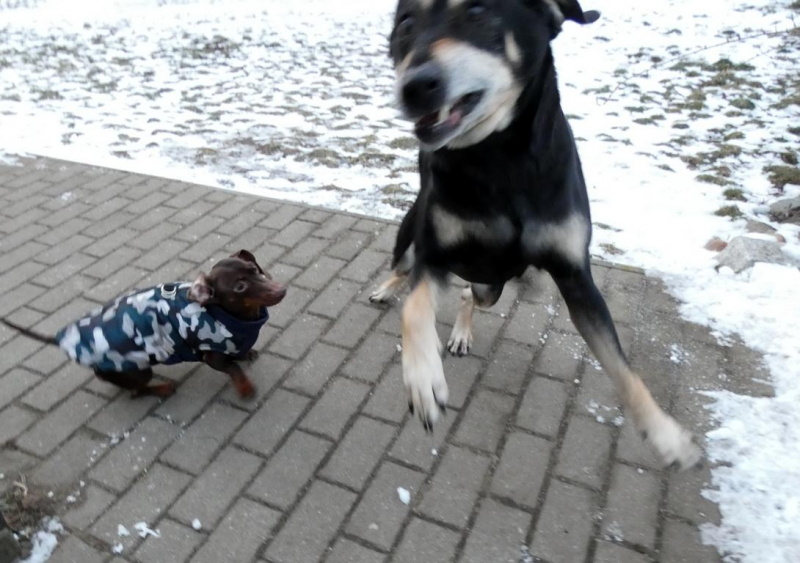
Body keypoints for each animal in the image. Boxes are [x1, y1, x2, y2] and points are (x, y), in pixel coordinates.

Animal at [0, 250, 286, 399]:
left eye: (254, 268)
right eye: (239, 287)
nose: (281, 289)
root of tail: (65, 339)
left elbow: (238, 355)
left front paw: (247, 352)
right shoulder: (211, 356)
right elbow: (234, 368)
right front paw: (246, 389)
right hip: (138, 369)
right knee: (136, 392)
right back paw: (162, 388)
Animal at [370, 0, 701, 469]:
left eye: (478, 13)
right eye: (405, 24)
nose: (414, 88)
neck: (499, 157)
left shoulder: (576, 277)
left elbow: (623, 367)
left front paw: (665, 435)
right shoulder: (434, 256)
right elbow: (415, 311)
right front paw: (422, 381)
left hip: (491, 285)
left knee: (472, 294)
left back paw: (461, 332)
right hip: (410, 235)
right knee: (403, 268)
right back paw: (386, 290)